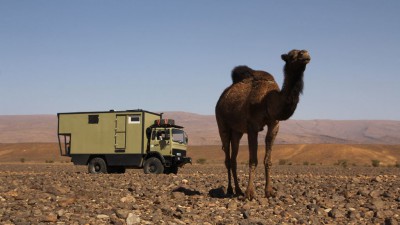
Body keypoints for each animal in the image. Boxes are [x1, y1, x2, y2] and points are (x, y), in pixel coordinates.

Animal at [214, 48, 310, 199]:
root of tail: (221, 98)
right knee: (228, 159)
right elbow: (253, 160)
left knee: (234, 159)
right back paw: (230, 189)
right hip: (222, 124)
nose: (305, 54)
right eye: (291, 55)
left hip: (237, 131)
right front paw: (250, 193)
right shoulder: (252, 126)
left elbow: (268, 160)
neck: (267, 100)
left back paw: (238, 190)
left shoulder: (274, 124)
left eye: (303, 52)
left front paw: (269, 191)